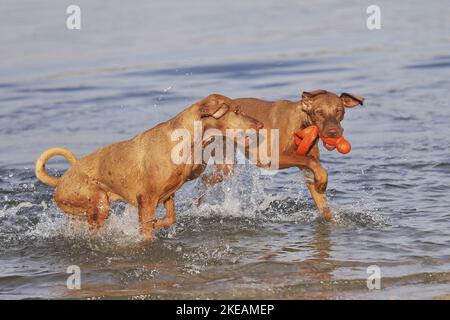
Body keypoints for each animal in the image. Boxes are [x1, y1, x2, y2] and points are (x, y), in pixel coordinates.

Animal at [36, 94, 264, 239]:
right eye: (236, 110)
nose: (260, 125)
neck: (188, 140)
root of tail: (62, 180)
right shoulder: (146, 199)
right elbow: (146, 231)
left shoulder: (168, 194)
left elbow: (170, 219)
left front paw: (158, 224)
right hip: (99, 201)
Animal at [202, 90, 364, 220]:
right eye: (319, 112)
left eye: (339, 111)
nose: (333, 133)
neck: (301, 126)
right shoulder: (272, 159)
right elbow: (311, 161)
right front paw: (322, 181)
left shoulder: (308, 174)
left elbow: (324, 208)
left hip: (226, 167)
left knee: (206, 180)